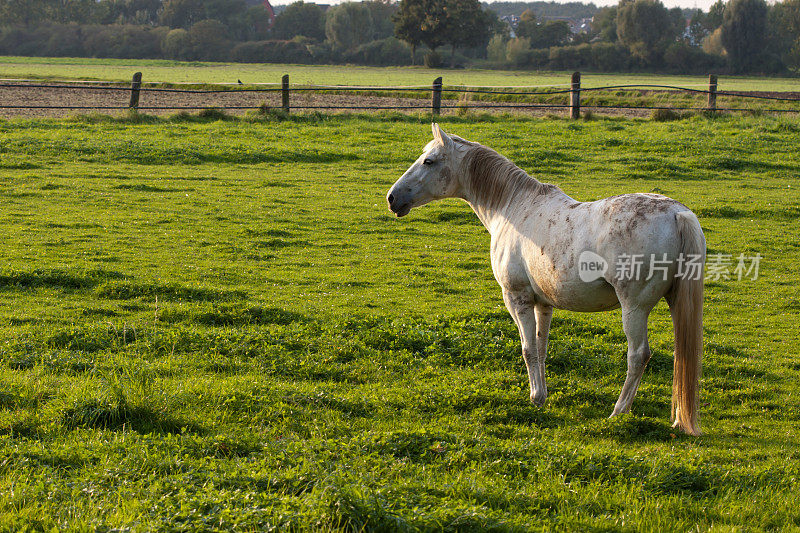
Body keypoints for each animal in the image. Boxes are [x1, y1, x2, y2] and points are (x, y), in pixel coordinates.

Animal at [388, 124, 708, 436]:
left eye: (429, 161)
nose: (392, 198)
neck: (514, 208)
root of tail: (679, 214)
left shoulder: (517, 298)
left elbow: (528, 348)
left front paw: (534, 398)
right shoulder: (543, 303)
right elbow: (541, 348)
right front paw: (542, 396)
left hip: (634, 308)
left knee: (638, 355)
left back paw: (618, 412)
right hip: (673, 302)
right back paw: (677, 419)